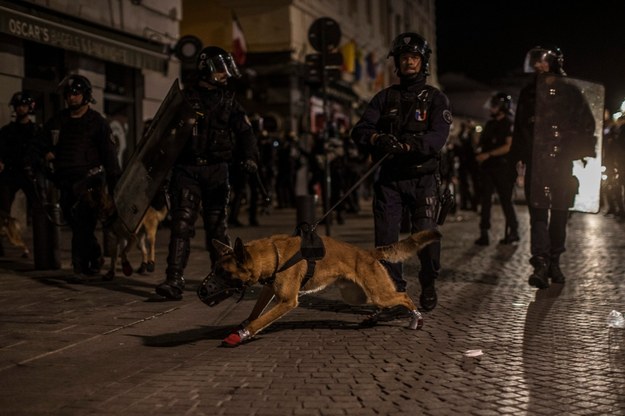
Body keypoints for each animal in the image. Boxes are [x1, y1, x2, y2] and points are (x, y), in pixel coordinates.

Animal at [211, 229, 438, 346]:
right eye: (215, 269)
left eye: (223, 273)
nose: (204, 291)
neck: (274, 255)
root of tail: (367, 253)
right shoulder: (268, 290)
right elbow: (256, 312)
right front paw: (243, 325)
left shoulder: (286, 301)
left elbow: (261, 320)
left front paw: (242, 334)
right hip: (361, 295)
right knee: (388, 299)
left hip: (378, 293)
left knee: (403, 296)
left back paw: (416, 318)